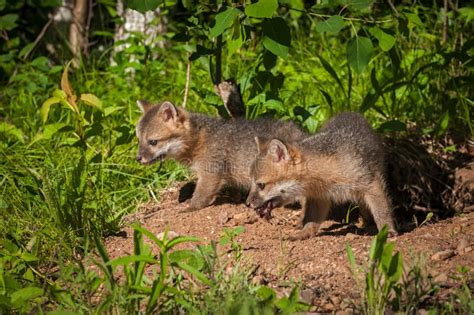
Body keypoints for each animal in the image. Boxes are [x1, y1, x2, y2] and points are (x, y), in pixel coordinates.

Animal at [246, 112, 398, 241]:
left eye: (261, 185)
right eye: (252, 183)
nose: (247, 203)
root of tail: (350, 112)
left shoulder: (370, 183)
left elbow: (382, 210)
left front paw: (387, 231)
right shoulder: (319, 198)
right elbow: (311, 220)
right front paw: (304, 233)